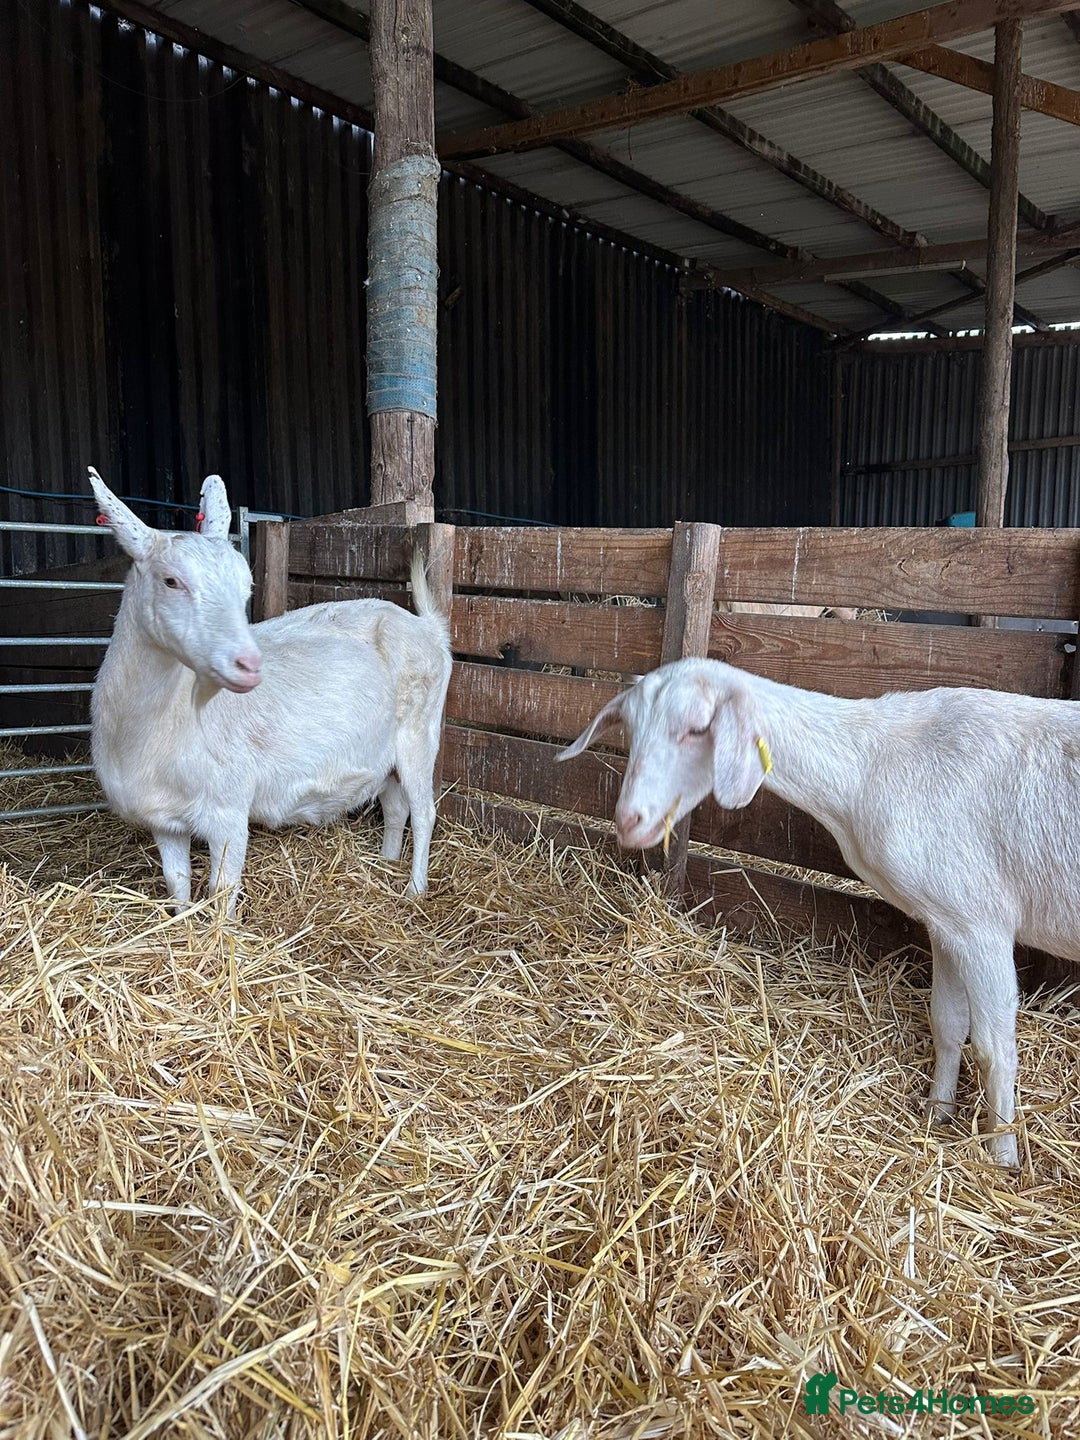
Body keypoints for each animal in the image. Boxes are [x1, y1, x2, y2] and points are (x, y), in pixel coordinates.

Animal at [89, 468, 452, 914]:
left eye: (247, 585)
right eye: (171, 581)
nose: (249, 664)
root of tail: (429, 627)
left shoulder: (227, 808)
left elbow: (222, 890)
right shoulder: (164, 819)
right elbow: (177, 881)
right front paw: (181, 921)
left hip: (421, 732)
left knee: (424, 812)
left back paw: (414, 889)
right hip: (382, 752)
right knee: (396, 805)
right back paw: (386, 863)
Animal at [558, 657, 1080, 1166]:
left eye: (697, 728)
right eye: (629, 729)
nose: (628, 820)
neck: (867, 764)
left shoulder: (981, 923)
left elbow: (994, 1050)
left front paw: (1002, 1156)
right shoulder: (947, 919)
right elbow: (948, 1023)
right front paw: (937, 1113)